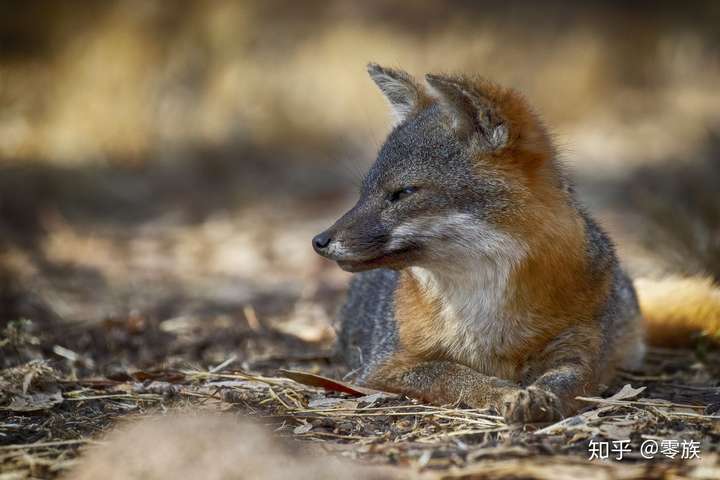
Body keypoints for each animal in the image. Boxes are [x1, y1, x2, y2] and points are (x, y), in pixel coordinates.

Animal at [312, 63, 720, 424]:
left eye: (403, 193)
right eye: (365, 193)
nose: (319, 241)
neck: (484, 310)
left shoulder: (582, 353)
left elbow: (564, 380)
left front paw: (537, 395)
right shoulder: (383, 366)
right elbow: (453, 375)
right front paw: (502, 393)